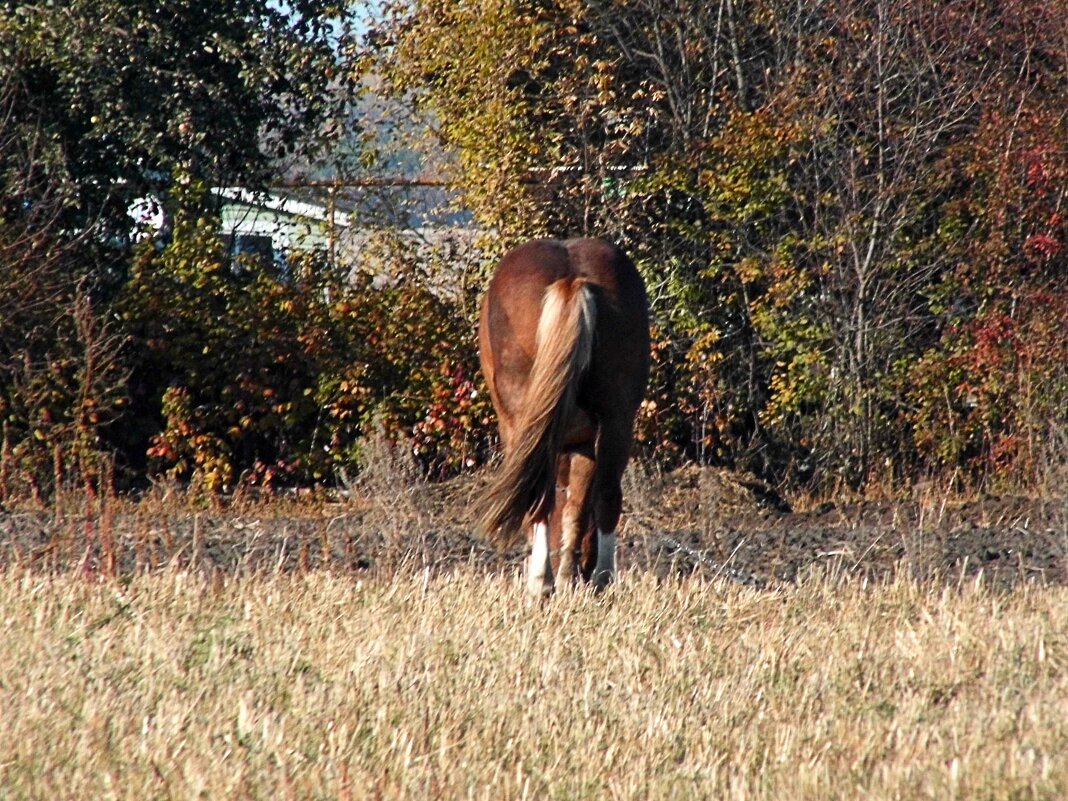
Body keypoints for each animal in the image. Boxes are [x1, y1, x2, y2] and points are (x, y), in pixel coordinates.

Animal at [478, 238, 649, 598]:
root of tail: (572, 277)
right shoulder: (585, 441)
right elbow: (577, 505)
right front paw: (569, 574)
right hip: (616, 419)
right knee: (607, 495)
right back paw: (601, 579)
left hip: (522, 425)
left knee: (540, 497)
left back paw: (541, 582)